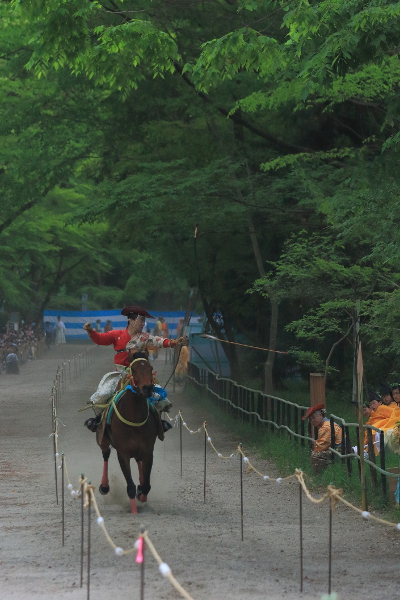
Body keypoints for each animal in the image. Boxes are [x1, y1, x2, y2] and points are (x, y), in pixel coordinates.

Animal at [96, 354, 160, 512]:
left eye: (150, 368)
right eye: (134, 369)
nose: (147, 388)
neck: (134, 418)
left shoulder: (148, 451)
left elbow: (146, 485)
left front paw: (141, 493)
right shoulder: (123, 453)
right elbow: (130, 486)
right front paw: (134, 510)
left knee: (138, 460)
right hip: (103, 438)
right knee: (106, 453)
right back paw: (104, 486)